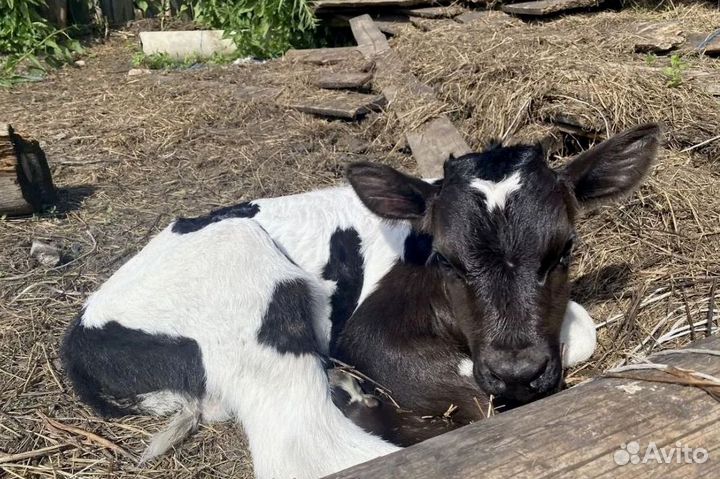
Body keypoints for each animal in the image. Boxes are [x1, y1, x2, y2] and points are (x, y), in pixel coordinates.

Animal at [60, 124, 660, 479]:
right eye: (445, 258)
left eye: (564, 249)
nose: (516, 371)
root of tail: (82, 334)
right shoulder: (369, 330)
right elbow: (472, 400)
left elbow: (582, 329)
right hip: (246, 278)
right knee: (304, 447)